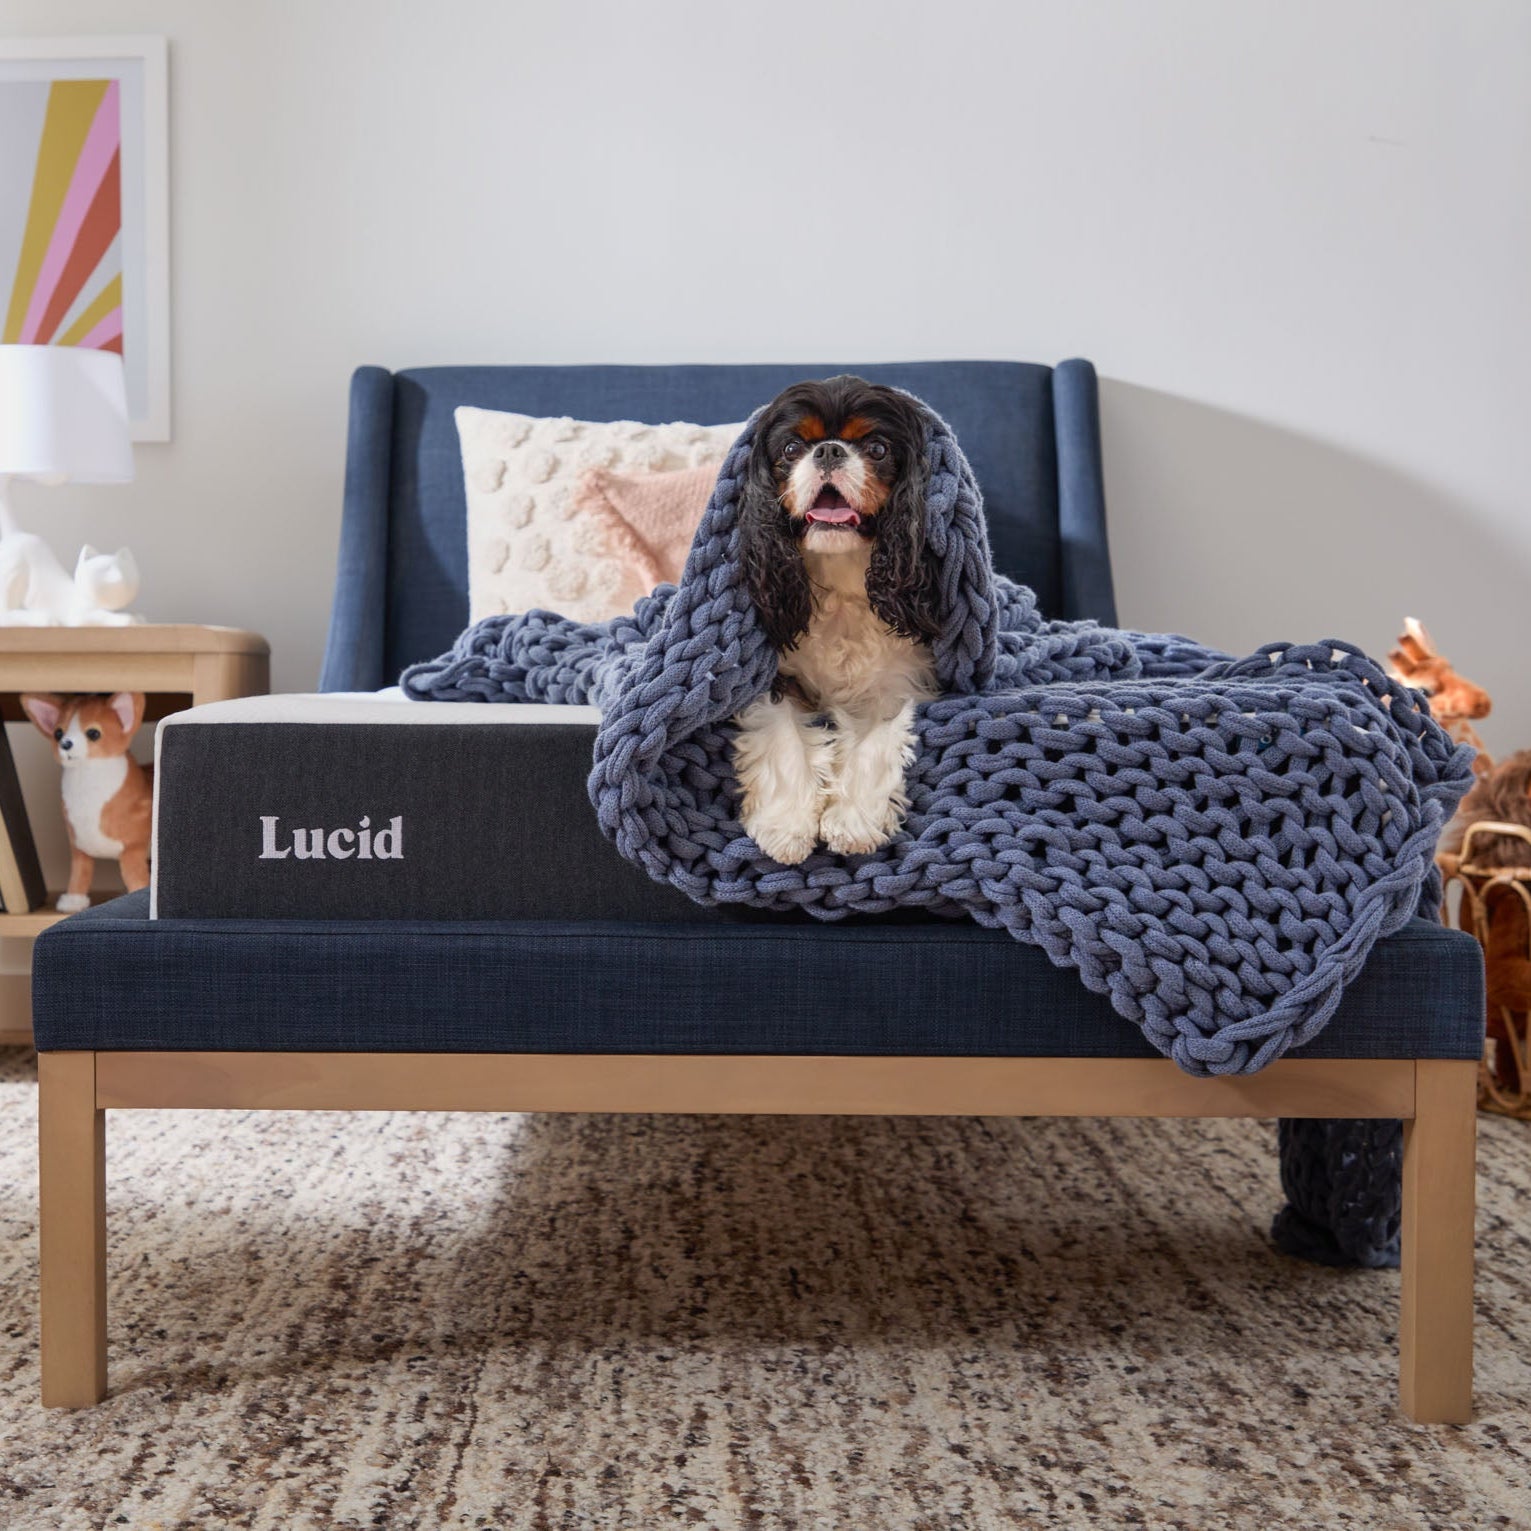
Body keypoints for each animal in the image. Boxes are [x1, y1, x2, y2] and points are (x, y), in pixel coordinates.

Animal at [732, 375, 939, 864]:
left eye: (878, 448)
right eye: (791, 448)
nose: (828, 451)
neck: (842, 577)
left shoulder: (902, 680)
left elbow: (875, 743)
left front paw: (852, 822)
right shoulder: (771, 675)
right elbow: (784, 737)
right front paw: (786, 827)